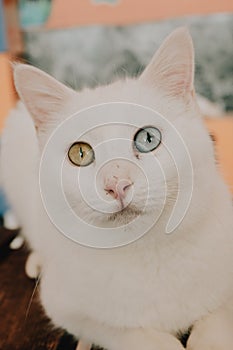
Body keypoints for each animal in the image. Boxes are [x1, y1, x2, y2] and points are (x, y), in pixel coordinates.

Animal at [0, 28, 233, 350]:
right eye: (80, 153)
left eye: (148, 138)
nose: (116, 183)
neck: (148, 255)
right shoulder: (67, 309)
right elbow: (135, 334)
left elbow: (217, 322)